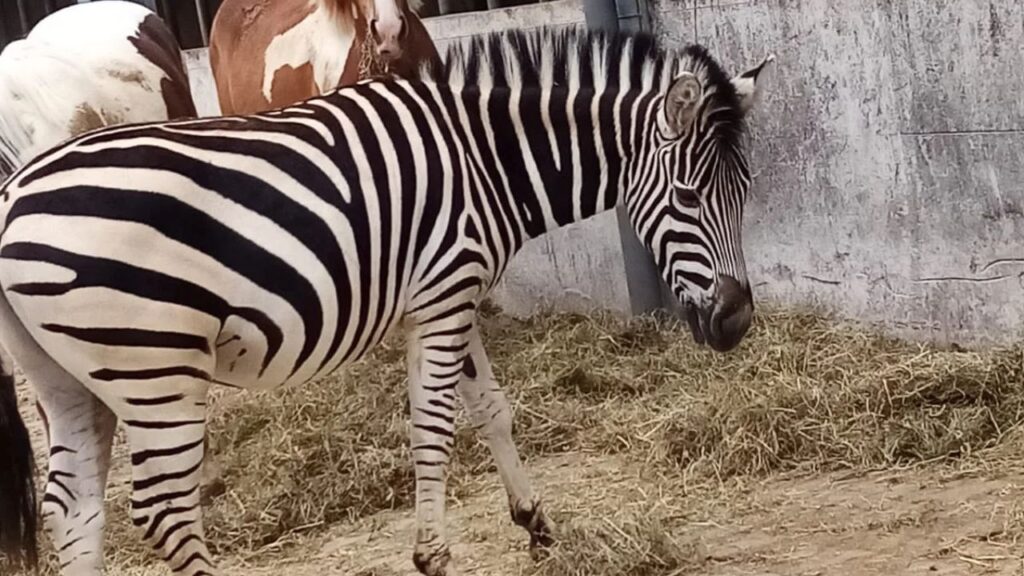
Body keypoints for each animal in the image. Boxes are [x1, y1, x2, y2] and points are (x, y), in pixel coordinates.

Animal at [0, 26, 772, 576]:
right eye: (689, 198)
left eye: (744, 194)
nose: (736, 323)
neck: (485, 161)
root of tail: (11, 199)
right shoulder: (443, 295)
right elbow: (433, 430)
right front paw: (433, 556)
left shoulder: (449, 293)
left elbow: (492, 409)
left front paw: (536, 524)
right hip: (154, 366)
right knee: (161, 511)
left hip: (68, 380)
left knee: (72, 507)